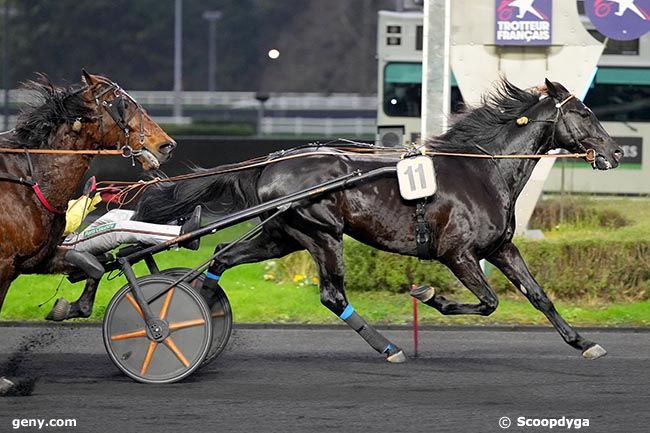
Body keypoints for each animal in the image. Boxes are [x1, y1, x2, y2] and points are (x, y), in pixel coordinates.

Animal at [0, 71, 176, 318]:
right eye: (124, 104)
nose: (166, 145)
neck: (27, 179)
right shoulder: (4, 265)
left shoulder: (39, 258)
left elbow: (94, 265)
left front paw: (71, 308)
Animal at [134, 78, 620, 362]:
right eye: (584, 113)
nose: (615, 152)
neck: (483, 171)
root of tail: (271, 163)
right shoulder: (456, 253)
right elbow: (488, 302)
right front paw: (430, 296)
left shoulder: (500, 247)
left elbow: (538, 296)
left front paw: (584, 342)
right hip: (322, 234)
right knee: (332, 295)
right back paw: (389, 347)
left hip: (281, 235)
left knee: (221, 255)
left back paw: (197, 305)